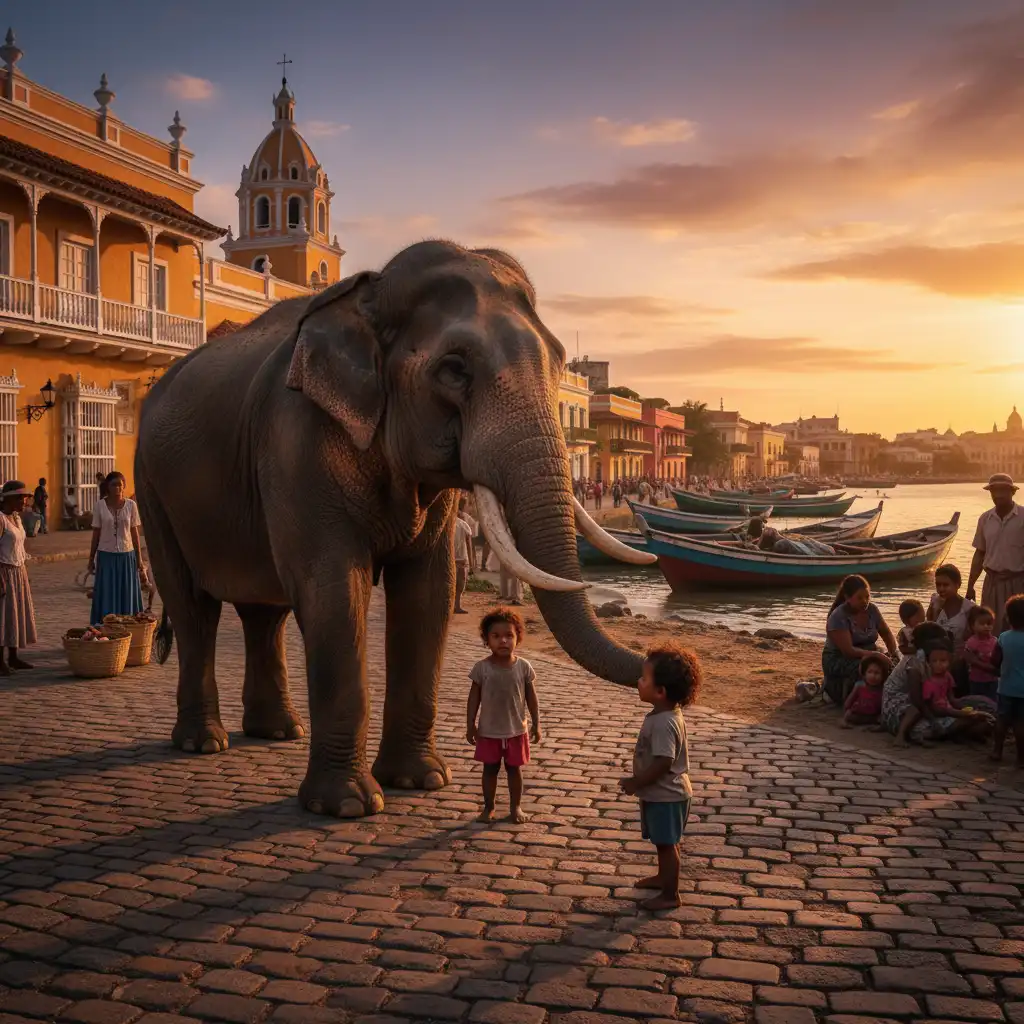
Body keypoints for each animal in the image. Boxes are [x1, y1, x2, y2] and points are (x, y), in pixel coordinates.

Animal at [135, 239, 655, 818]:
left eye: (560, 362)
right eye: (454, 369)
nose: (671, 664)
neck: (370, 293)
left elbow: (429, 594)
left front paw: (422, 780)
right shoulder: (295, 439)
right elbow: (334, 592)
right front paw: (347, 806)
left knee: (263, 612)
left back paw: (278, 732)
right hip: (151, 486)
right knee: (193, 607)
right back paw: (204, 742)